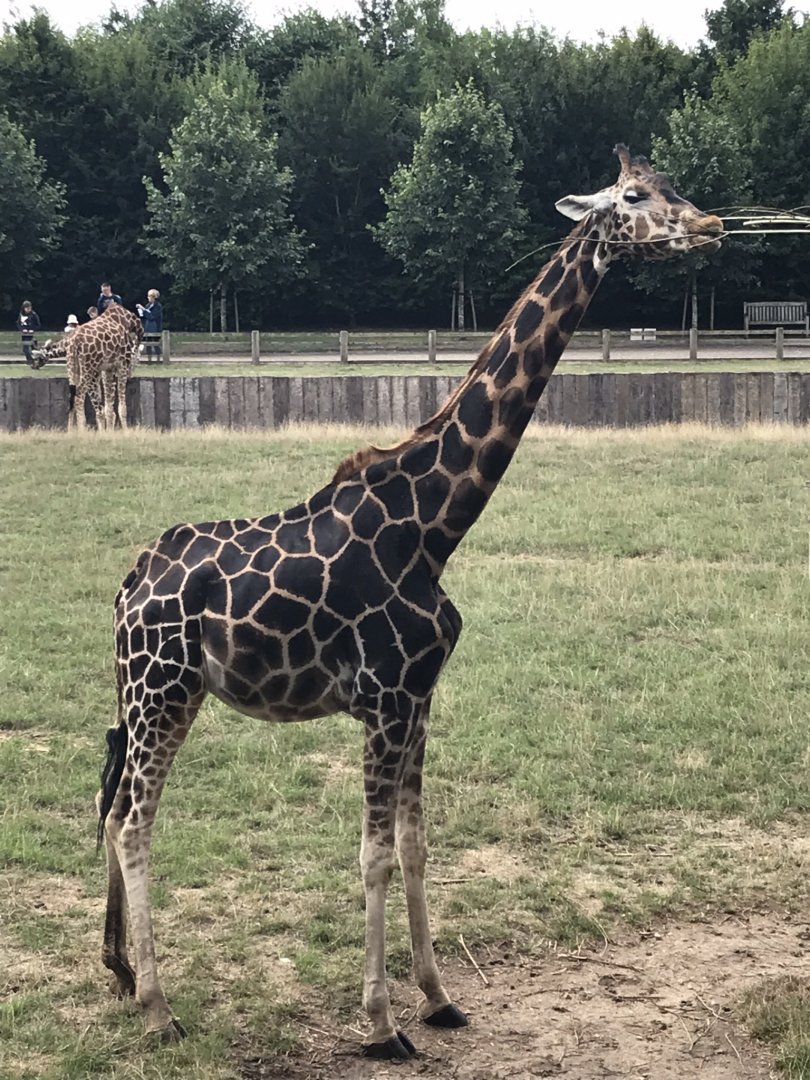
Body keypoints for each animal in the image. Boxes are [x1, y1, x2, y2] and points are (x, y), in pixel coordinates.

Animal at [96, 146, 723, 1057]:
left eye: (675, 185)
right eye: (637, 196)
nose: (711, 225)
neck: (434, 523)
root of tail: (127, 587)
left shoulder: (422, 699)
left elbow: (420, 844)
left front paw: (437, 997)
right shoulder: (386, 701)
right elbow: (375, 854)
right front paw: (382, 1021)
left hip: (151, 695)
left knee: (112, 803)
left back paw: (117, 972)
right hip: (163, 690)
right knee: (134, 820)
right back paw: (157, 1006)